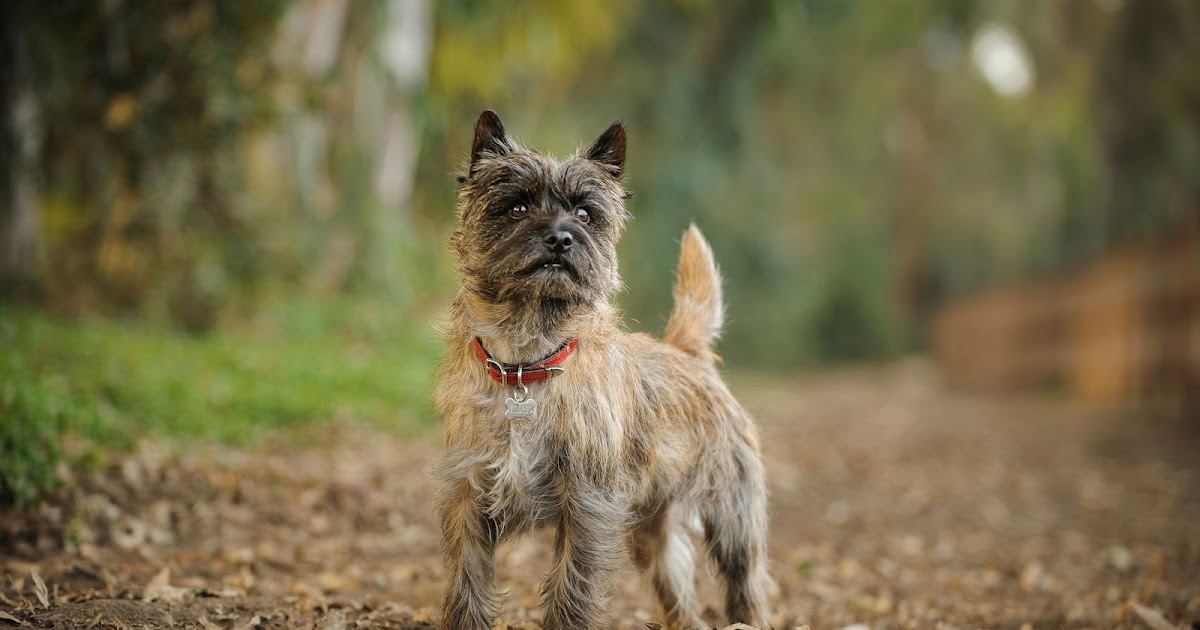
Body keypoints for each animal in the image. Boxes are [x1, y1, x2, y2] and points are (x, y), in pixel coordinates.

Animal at [432, 110, 768, 624]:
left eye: (585, 214)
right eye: (517, 208)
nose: (561, 237)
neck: (526, 362)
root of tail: (686, 352)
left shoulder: (587, 505)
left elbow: (572, 587)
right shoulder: (469, 496)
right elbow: (466, 585)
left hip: (732, 522)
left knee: (744, 587)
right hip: (654, 535)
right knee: (681, 602)